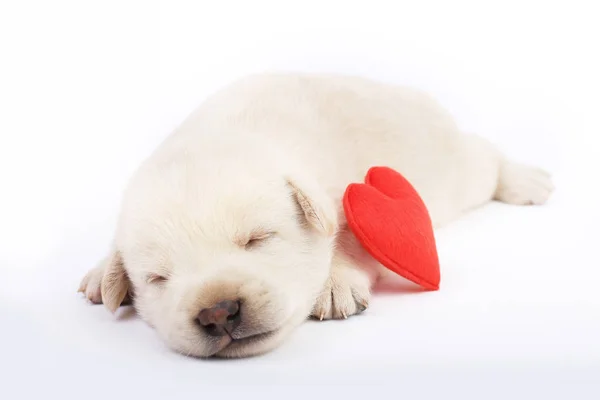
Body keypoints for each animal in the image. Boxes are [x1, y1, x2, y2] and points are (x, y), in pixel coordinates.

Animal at [77, 73, 556, 358]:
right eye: (158, 278)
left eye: (258, 238)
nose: (218, 311)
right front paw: (103, 274)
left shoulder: (348, 194)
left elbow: (345, 237)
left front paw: (334, 281)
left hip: (453, 170)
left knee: (486, 157)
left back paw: (527, 180)